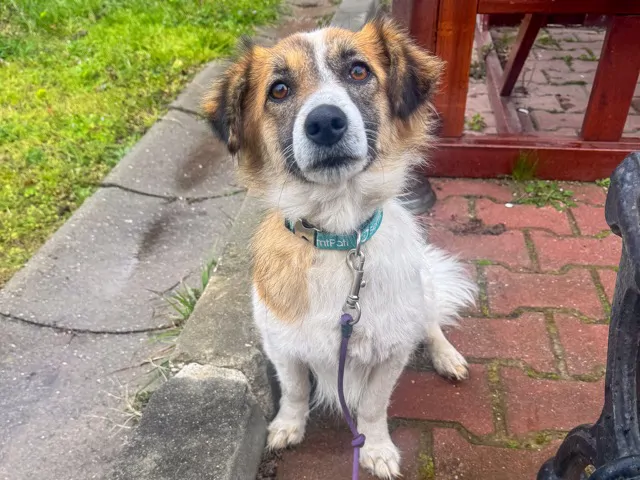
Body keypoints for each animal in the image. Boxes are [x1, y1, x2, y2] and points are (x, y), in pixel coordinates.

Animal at [203, 16, 477, 479]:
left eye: (358, 71)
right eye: (279, 89)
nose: (325, 122)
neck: (338, 235)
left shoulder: (391, 351)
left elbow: (372, 406)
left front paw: (376, 450)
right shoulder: (282, 346)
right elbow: (295, 390)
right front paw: (288, 427)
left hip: (420, 294)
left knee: (431, 323)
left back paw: (447, 356)